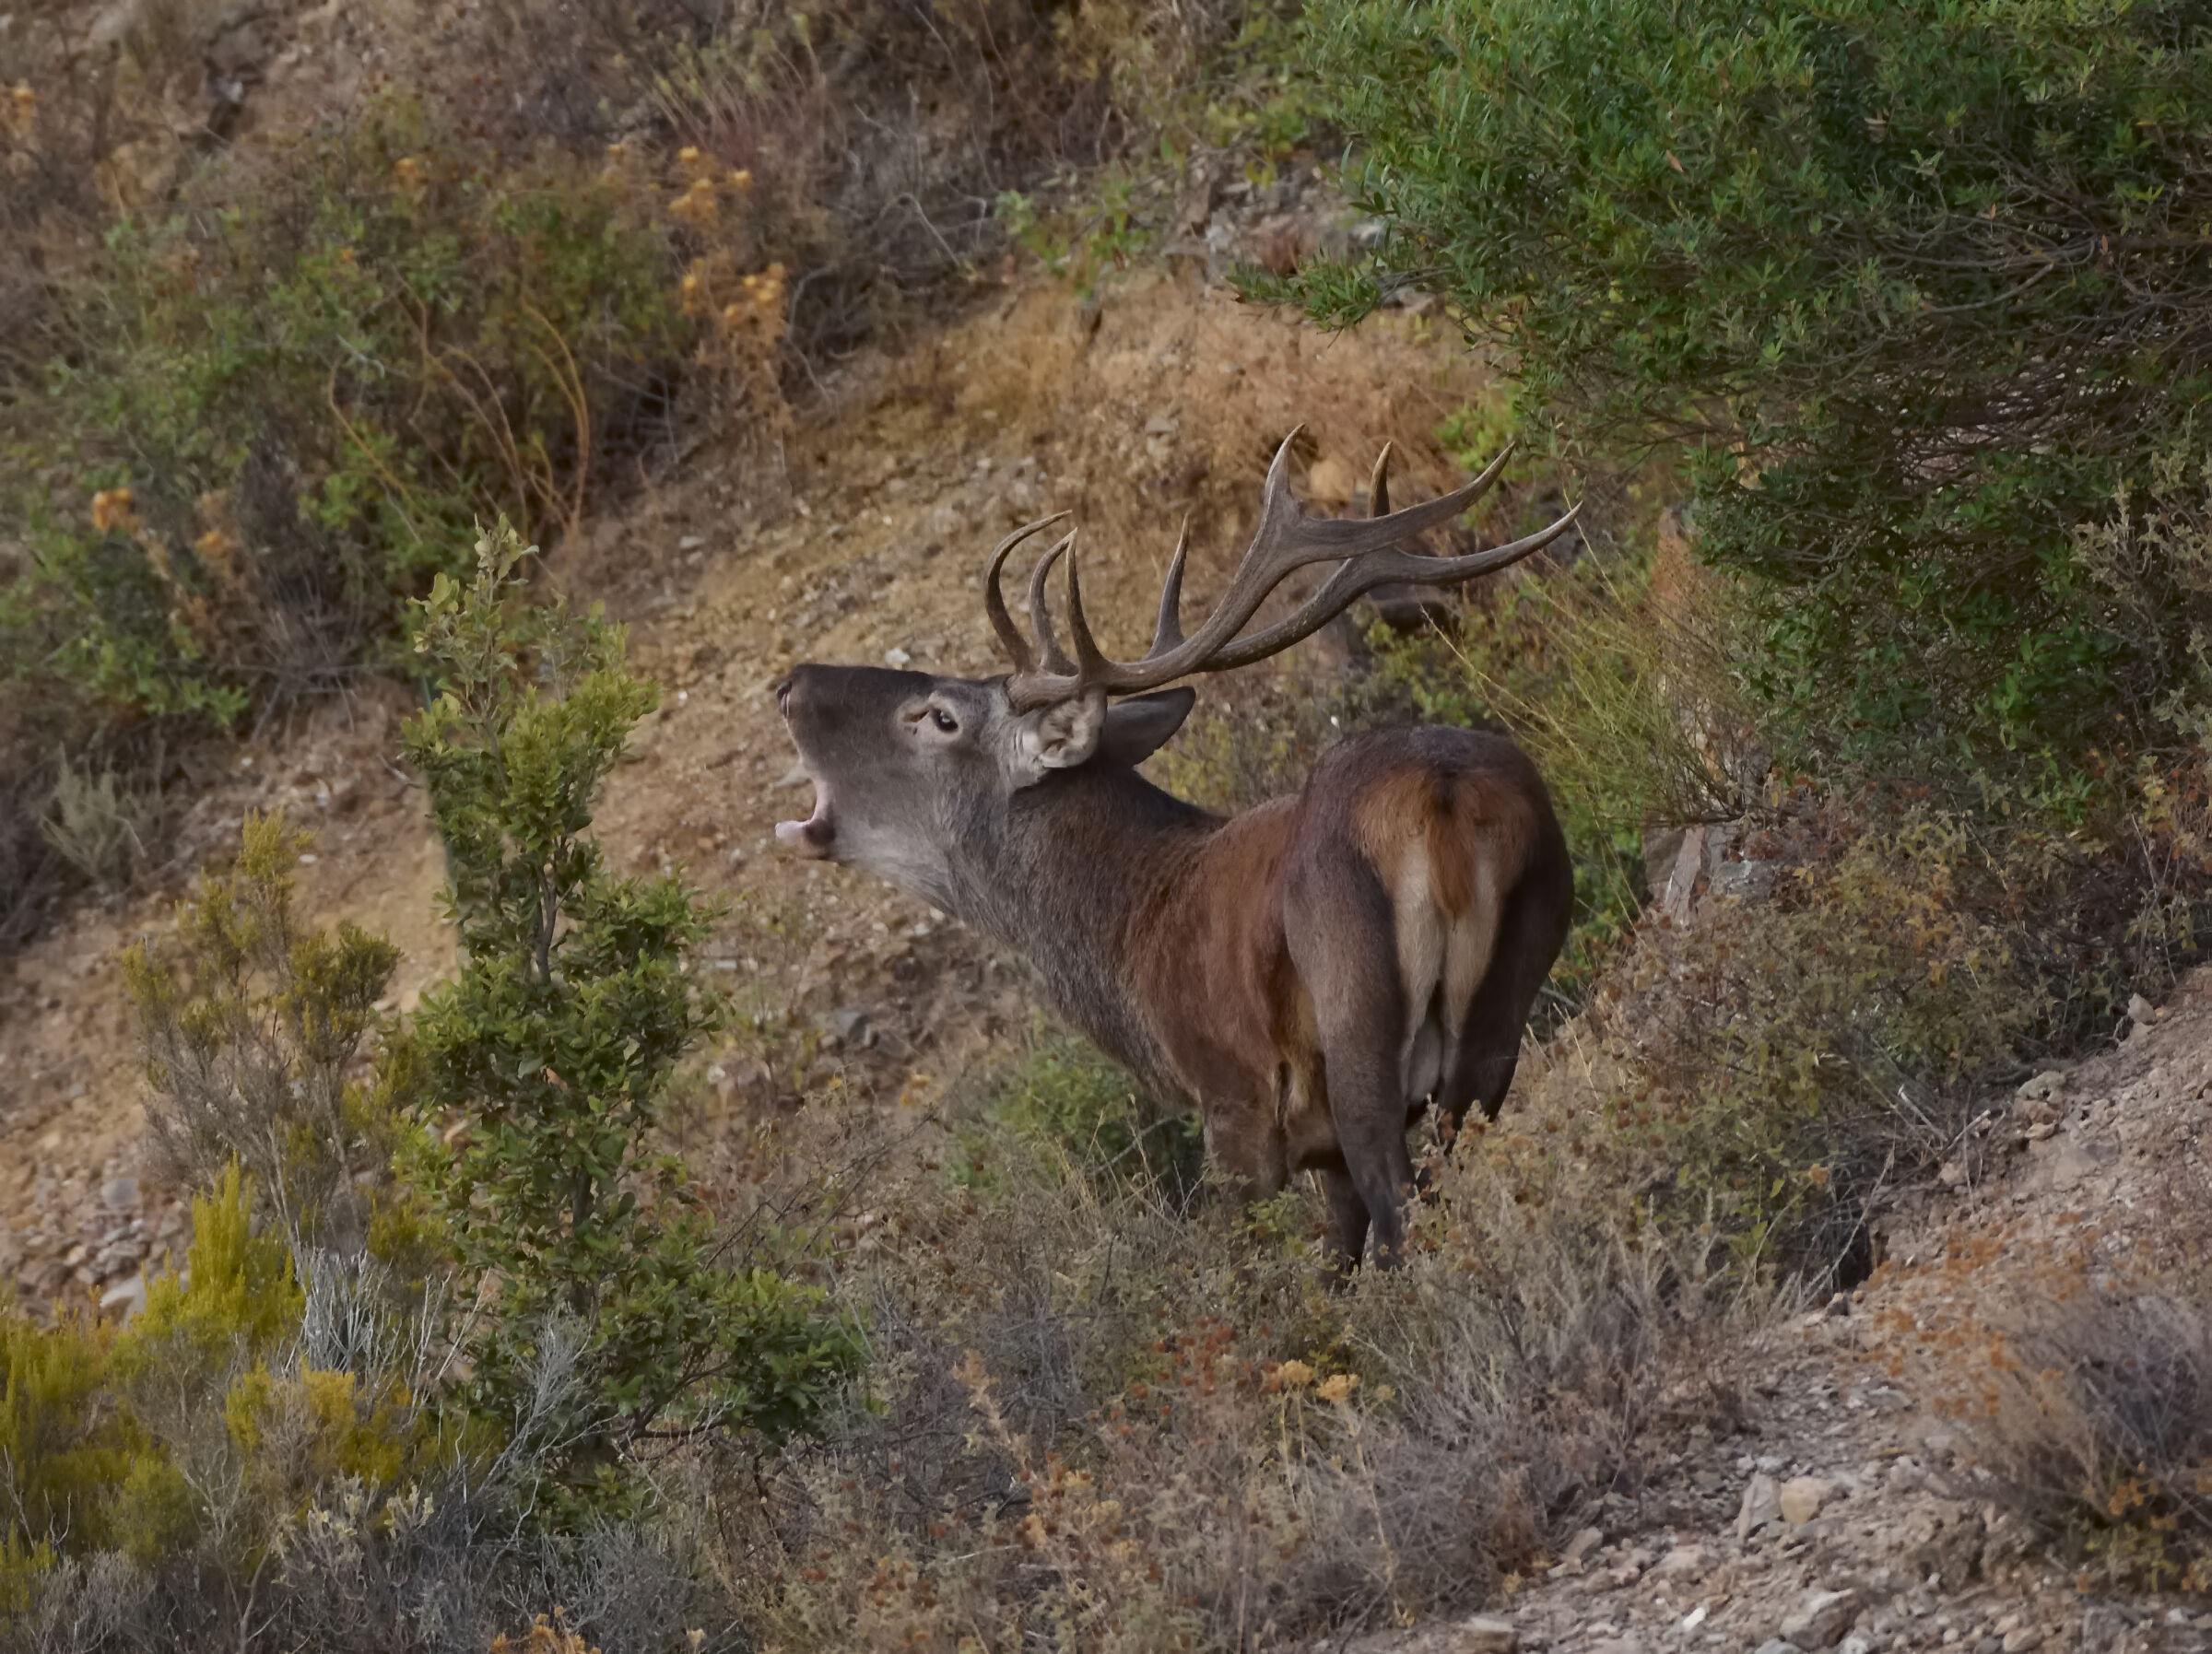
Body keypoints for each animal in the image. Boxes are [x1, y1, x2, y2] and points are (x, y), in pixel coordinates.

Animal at [773, 432, 1580, 1271]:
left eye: (940, 716)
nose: (790, 684)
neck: (1130, 938)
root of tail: (1443, 799)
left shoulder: (1239, 1107)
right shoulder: (1317, 1139)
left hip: (1355, 1005)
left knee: (1401, 1212)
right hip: (1514, 983)